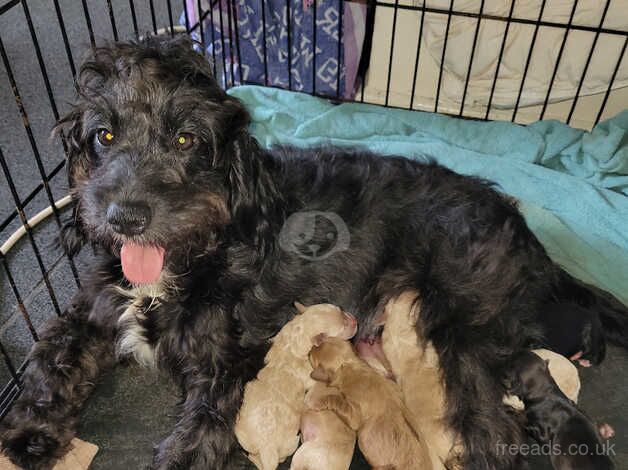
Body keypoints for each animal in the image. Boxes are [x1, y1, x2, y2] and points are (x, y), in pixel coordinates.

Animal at [234, 302, 356, 468]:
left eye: (341, 310)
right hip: (292, 446)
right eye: (343, 327)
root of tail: (267, 447)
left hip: (248, 438)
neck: (299, 332)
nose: (355, 320)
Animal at [306, 338, 440, 470]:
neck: (351, 366)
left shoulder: (353, 415)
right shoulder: (394, 386)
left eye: (312, 357)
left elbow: (336, 400)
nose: (309, 350)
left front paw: (317, 402)